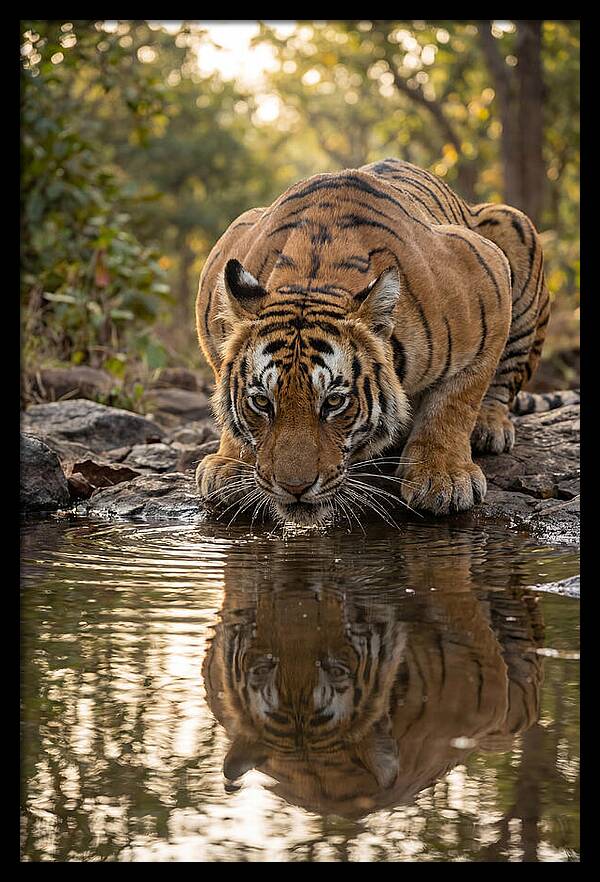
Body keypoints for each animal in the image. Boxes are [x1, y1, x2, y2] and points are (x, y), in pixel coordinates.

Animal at [195, 158, 550, 523]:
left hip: (514, 224)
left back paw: (489, 427)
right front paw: (229, 464)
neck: (313, 277)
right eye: (262, 402)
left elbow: (456, 399)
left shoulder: (488, 277)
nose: (294, 487)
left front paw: (443, 477)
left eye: (334, 402)